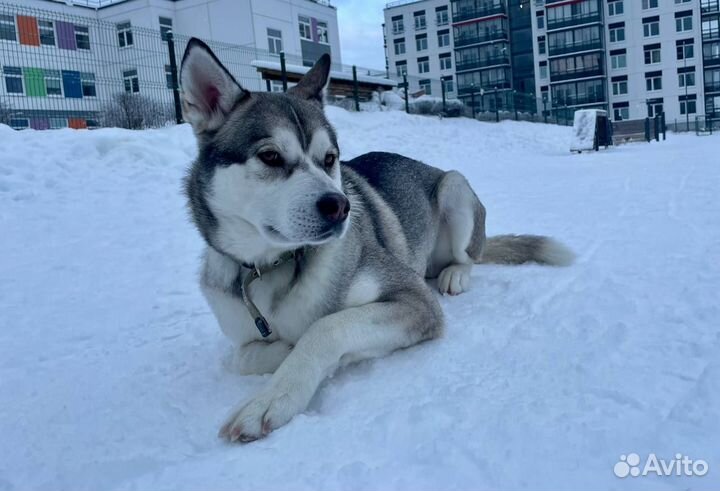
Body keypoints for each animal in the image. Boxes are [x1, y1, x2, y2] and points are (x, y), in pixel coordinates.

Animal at [180, 38, 572, 444]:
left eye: (329, 159)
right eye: (270, 156)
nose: (341, 206)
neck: (274, 265)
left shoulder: (415, 301)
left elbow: (325, 327)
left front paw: (273, 396)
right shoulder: (239, 331)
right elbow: (241, 357)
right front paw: (282, 350)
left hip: (454, 187)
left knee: (467, 256)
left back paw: (455, 274)